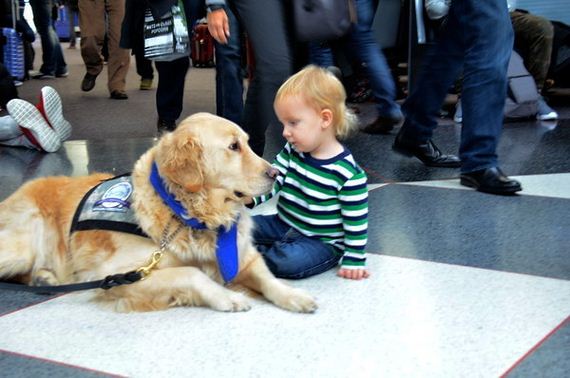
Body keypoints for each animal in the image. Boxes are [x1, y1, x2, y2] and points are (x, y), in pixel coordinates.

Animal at [0, 112, 316, 314]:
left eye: (248, 143)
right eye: (233, 146)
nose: (275, 173)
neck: (189, 214)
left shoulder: (244, 256)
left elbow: (268, 278)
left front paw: (294, 295)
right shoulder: (119, 274)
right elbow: (190, 272)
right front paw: (227, 296)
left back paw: (44, 278)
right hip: (21, 247)